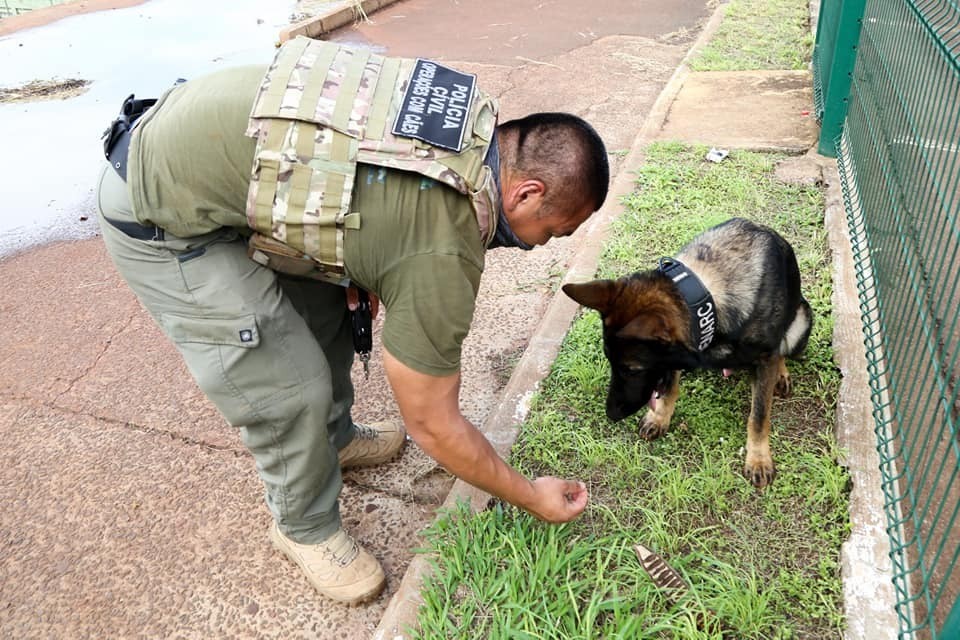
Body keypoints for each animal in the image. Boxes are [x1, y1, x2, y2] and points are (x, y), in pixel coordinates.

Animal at [564, 218, 808, 488]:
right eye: (611, 362)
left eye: (633, 369)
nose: (611, 414)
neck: (706, 296)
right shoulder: (673, 358)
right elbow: (669, 388)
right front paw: (659, 417)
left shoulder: (764, 359)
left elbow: (759, 415)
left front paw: (758, 459)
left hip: (801, 322)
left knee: (782, 350)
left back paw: (781, 374)